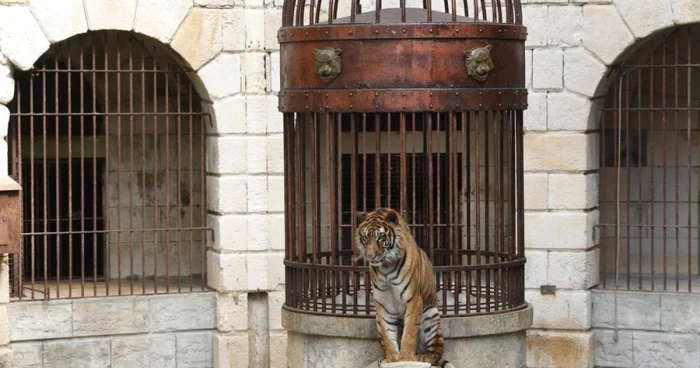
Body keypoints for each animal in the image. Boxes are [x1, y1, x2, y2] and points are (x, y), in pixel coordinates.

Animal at [356, 207, 454, 368]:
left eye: (380, 237)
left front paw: (406, 358)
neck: (386, 268)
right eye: (365, 237)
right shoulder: (382, 303)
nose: (370, 257)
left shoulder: (413, 299)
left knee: (436, 353)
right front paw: (391, 359)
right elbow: (388, 334)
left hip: (431, 316)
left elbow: (409, 333)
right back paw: (383, 358)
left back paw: (422, 357)